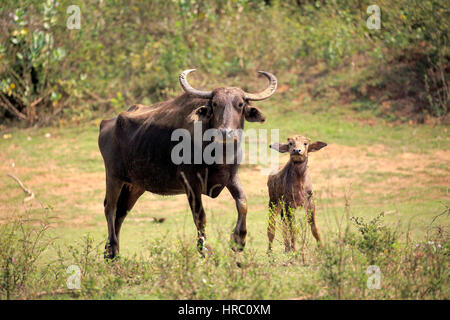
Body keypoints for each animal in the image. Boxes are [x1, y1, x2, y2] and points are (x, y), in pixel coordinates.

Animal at [99, 69, 276, 258]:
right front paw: (204, 248)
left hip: (135, 185)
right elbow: (200, 216)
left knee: (121, 212)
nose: (225, 132)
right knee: (110, 208)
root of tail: (107, 124)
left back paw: (112, 253)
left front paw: (238, 240)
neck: (217, 153)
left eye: (240, 104)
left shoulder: (232, 177)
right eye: (215, 104)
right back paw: (111, 247)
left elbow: (242, 203)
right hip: (113, 177)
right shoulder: (190, 182)